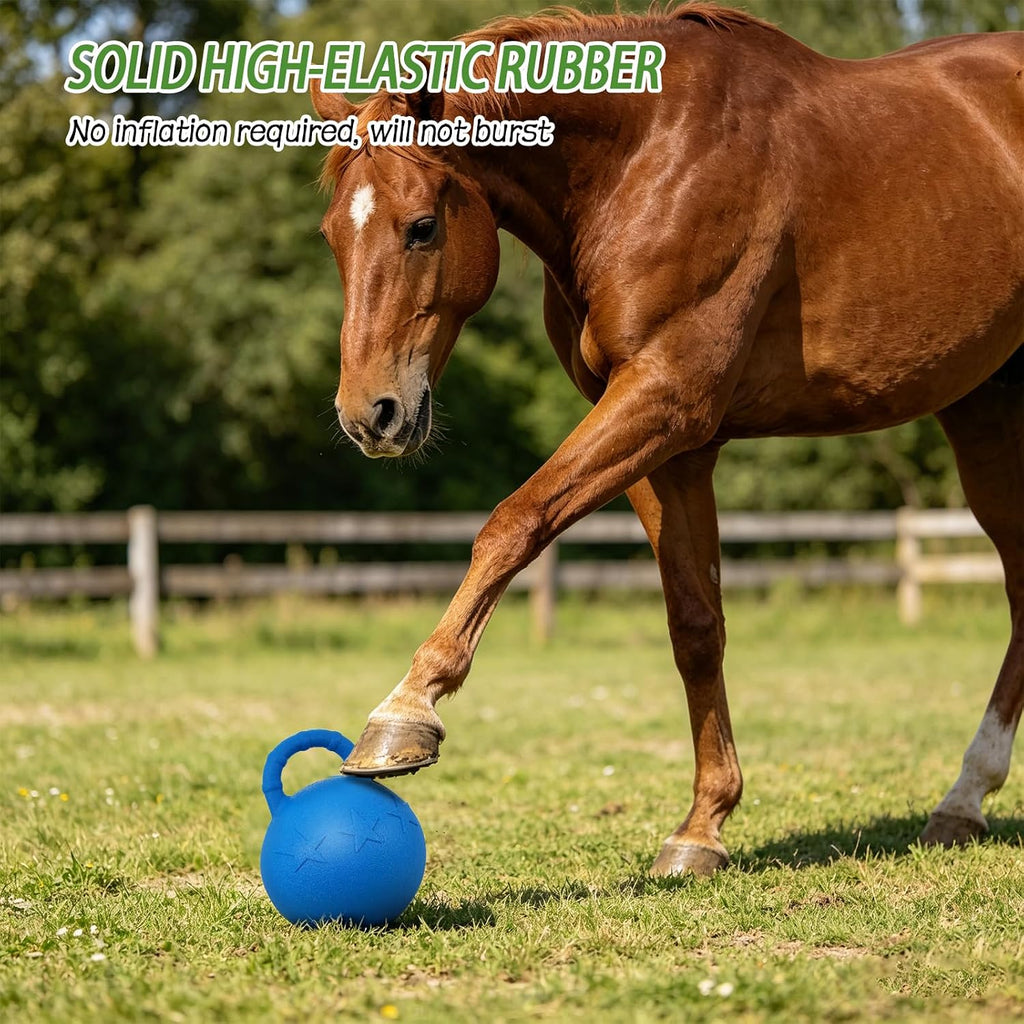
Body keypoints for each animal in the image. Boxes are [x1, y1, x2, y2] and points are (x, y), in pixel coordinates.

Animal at [311, 3, 1024, 875]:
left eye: (419, 228)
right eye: (333, 237)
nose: (368, 415)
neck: (645, 160)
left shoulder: (662, 400)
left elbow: (512, 524)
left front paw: (404, 713)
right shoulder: (673, 447)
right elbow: (696, 626)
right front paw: (703, 826)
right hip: (986, 409)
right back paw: (962, 802)